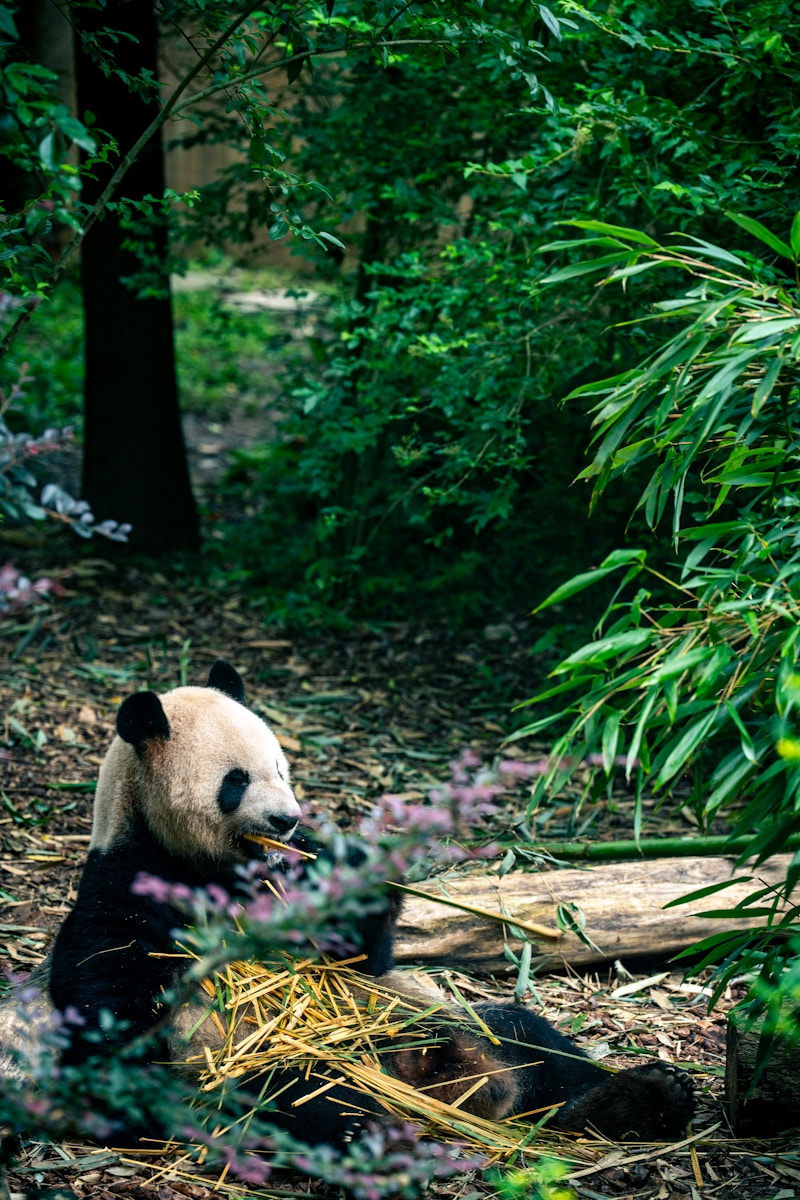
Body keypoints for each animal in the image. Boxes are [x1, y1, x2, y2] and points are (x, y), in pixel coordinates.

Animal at [47, 661, 694, 1149]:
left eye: (281, 769)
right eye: (236, 780)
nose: (288, 820)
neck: (210, 865)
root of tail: (445, 1083)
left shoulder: (285, 880)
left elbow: (356, 958)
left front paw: (361, 871)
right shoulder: (128, 883)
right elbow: (110, 998)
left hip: (444, 1017)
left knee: (532, 1044)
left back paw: (640, 1099)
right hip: (280, 1062)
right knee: (302, 1100)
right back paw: (381, 1133)